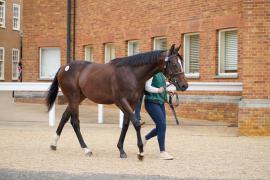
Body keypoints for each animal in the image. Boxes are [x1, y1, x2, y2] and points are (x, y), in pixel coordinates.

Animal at [46, 44, 188, 160]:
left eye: (181, 62)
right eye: (174, 64)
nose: (184, 85)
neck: (131, 73)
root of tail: (64, 67)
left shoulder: (131, 103)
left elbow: (125, 124)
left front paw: (121, 149)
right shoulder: (121, 101)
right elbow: (136, 123)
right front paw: (140, 151)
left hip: (78, 98)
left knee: (65, 117)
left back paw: (54, 144)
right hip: (74, 97)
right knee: (75, 122)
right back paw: (86, 149)